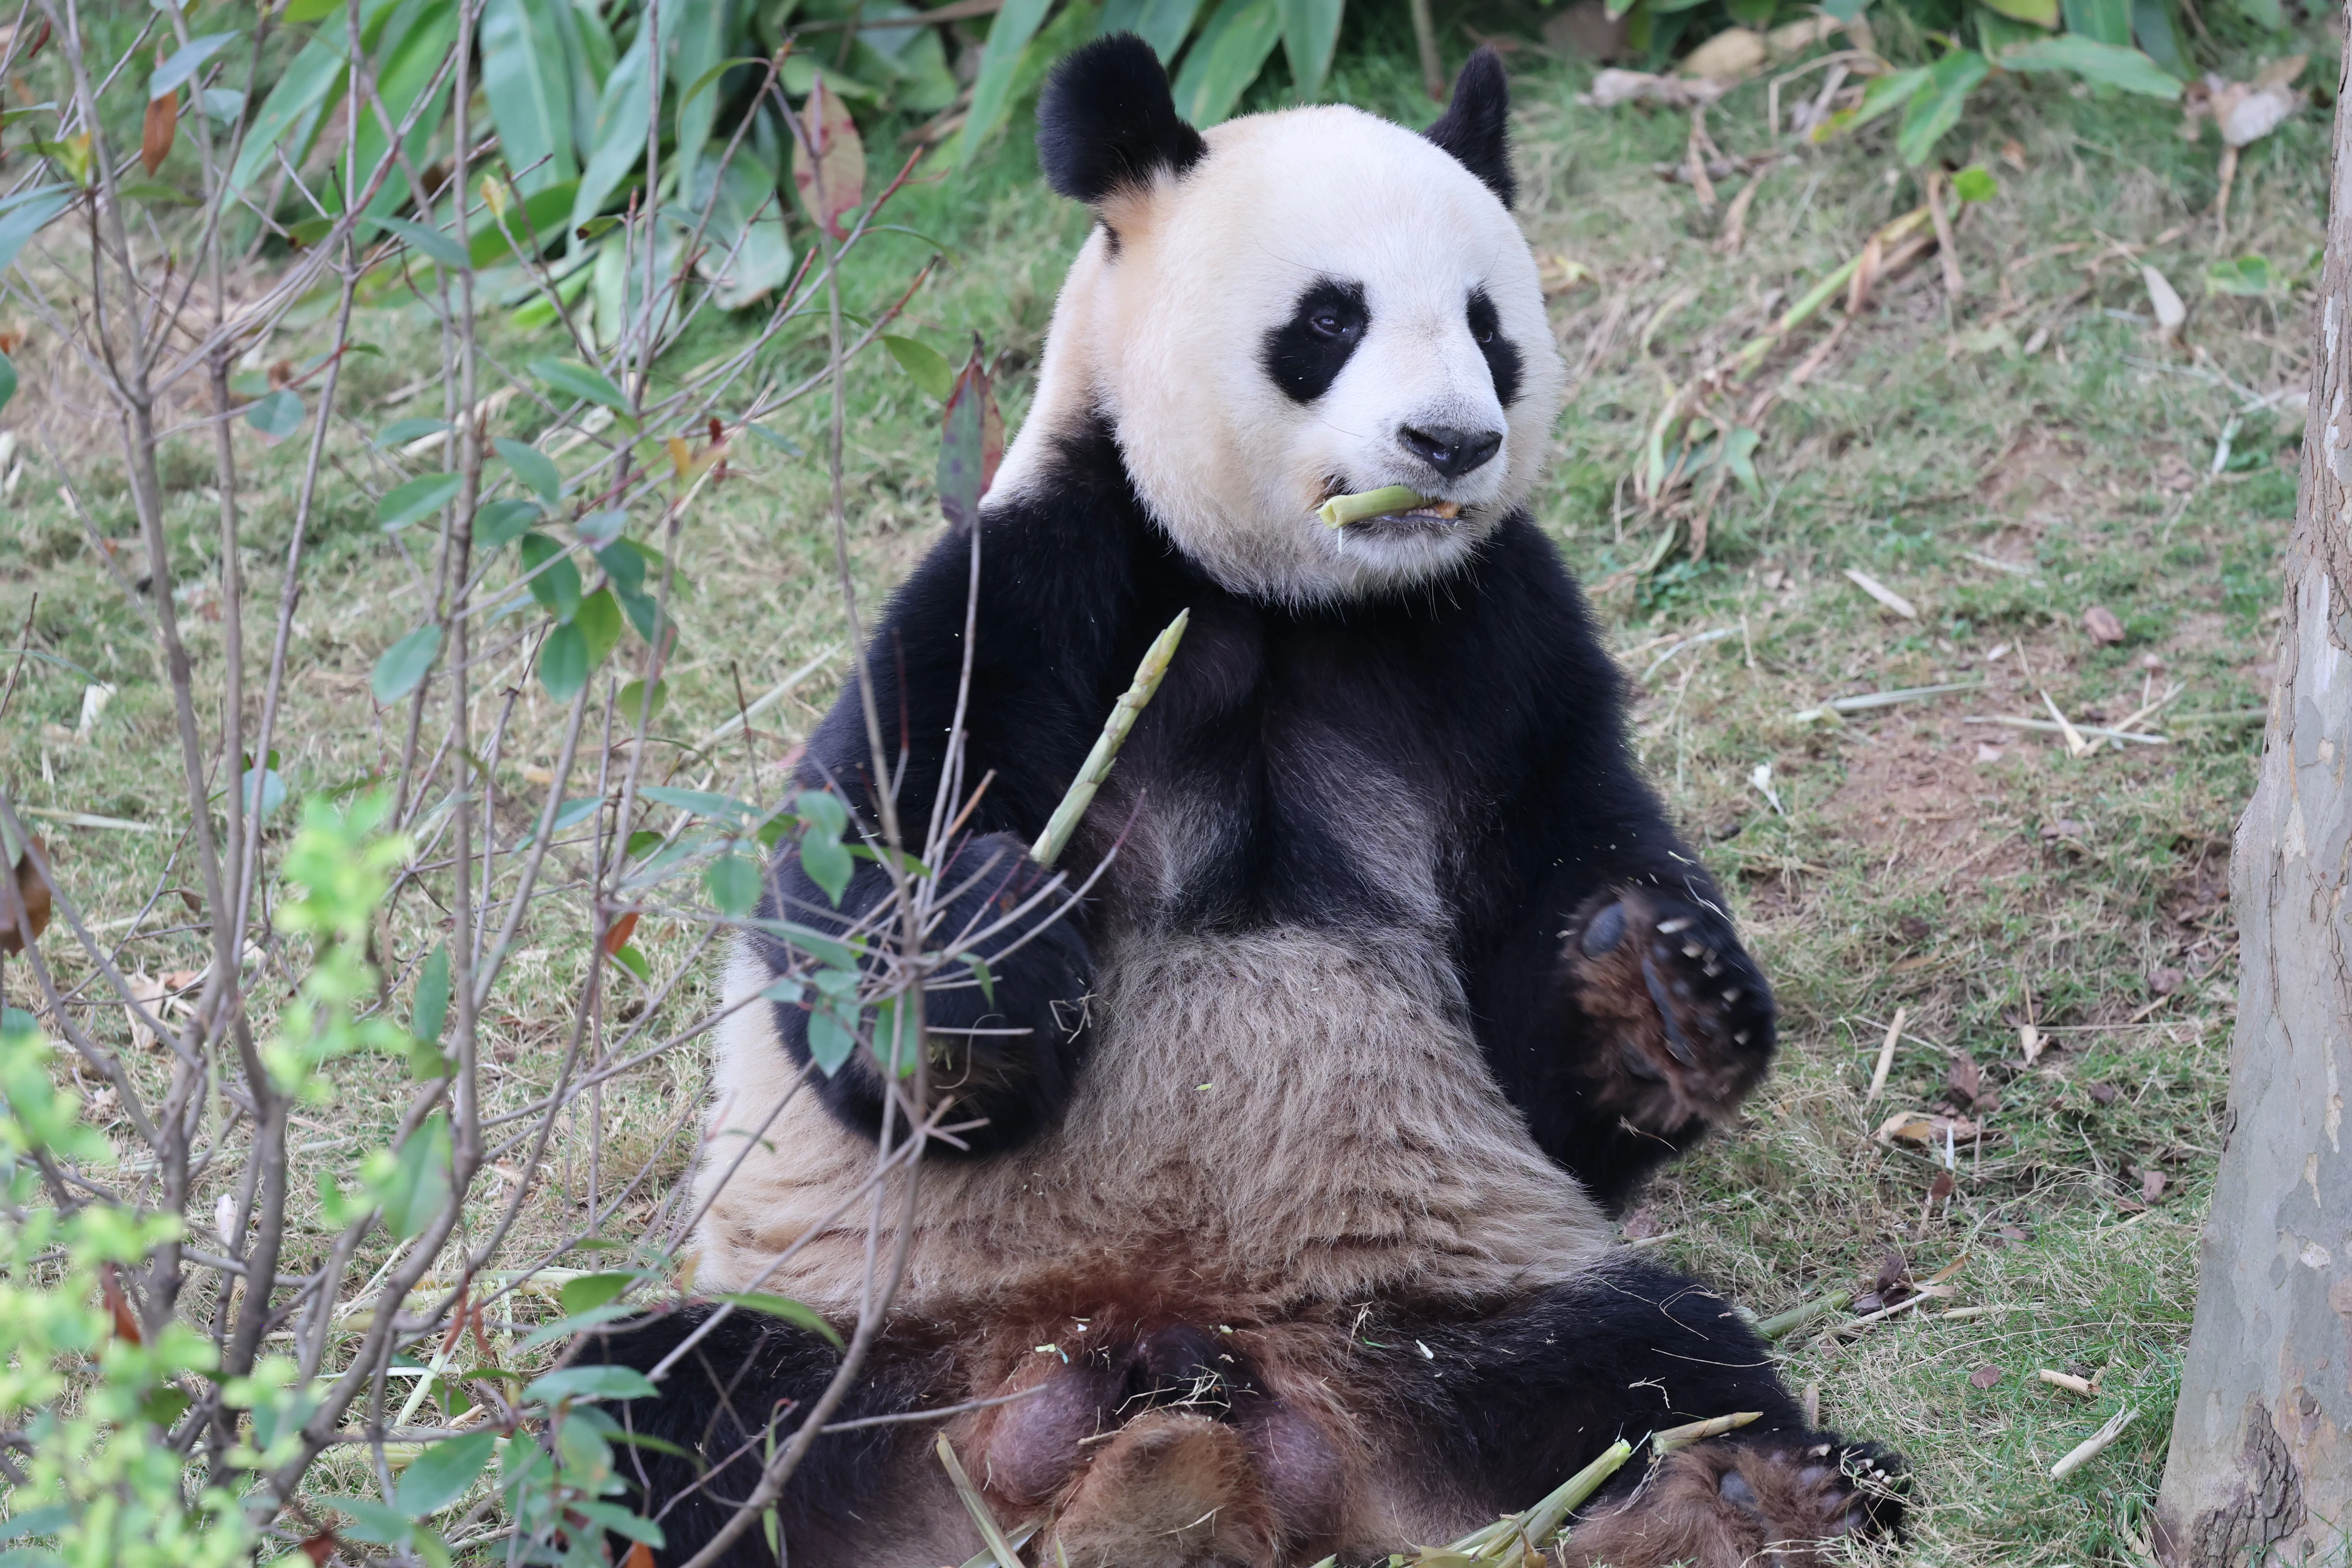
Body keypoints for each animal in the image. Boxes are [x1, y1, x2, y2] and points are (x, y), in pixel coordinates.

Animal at [584, 36, 1904, 1568]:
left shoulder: (1499, 645)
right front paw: (977, 941)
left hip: (1439, 1329)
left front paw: (1666, 995)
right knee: (662, 1412)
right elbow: (869, 887)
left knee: (1653, 1360)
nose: (1450, 441)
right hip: (880, 1345)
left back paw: (1745, 1496)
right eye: (1328, 319)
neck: (1294, 599)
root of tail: (1180, 1417)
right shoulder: (1040, 586)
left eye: (1489, 325)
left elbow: (1556, 938)